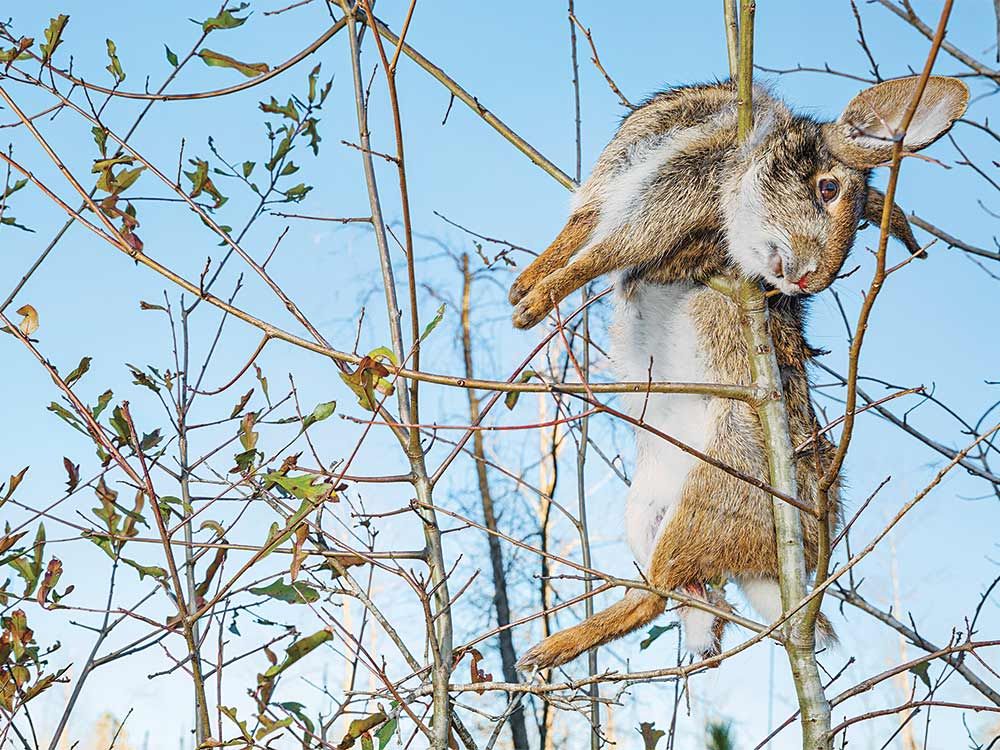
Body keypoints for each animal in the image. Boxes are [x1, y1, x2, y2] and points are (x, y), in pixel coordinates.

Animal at [511, 76, 969, 670]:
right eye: (827, 188)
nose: (808, 279)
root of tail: (792, 562)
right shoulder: (620, 192)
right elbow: (578, 237)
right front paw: (524, 288)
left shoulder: (667, 213)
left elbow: (604, 255)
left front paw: (531, 307)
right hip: (644, 512)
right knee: (691, 600)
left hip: (712, 490)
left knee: (653, 597)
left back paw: (545, 650)